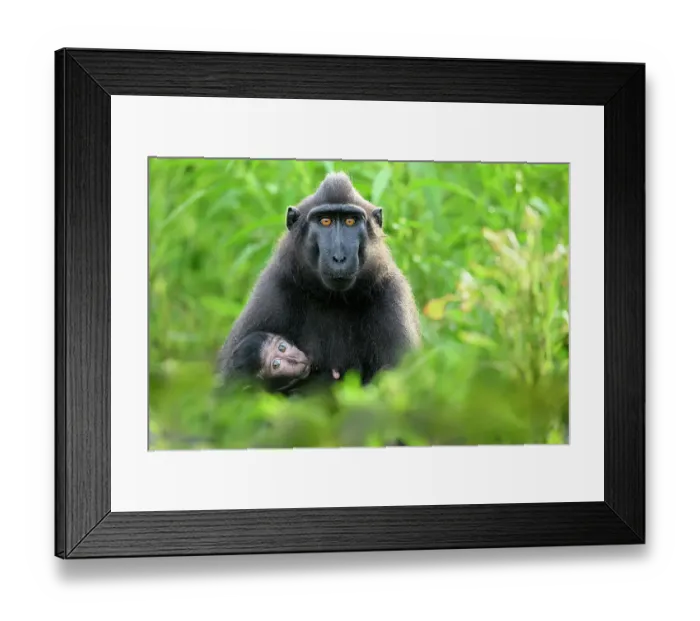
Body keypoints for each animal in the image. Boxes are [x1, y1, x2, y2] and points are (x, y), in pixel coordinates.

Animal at [217, 172, 421, 390]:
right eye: (325, 221)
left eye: (350, 221)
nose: (339, 258)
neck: (334, 299)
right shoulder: (274, 289)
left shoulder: (392, 295)